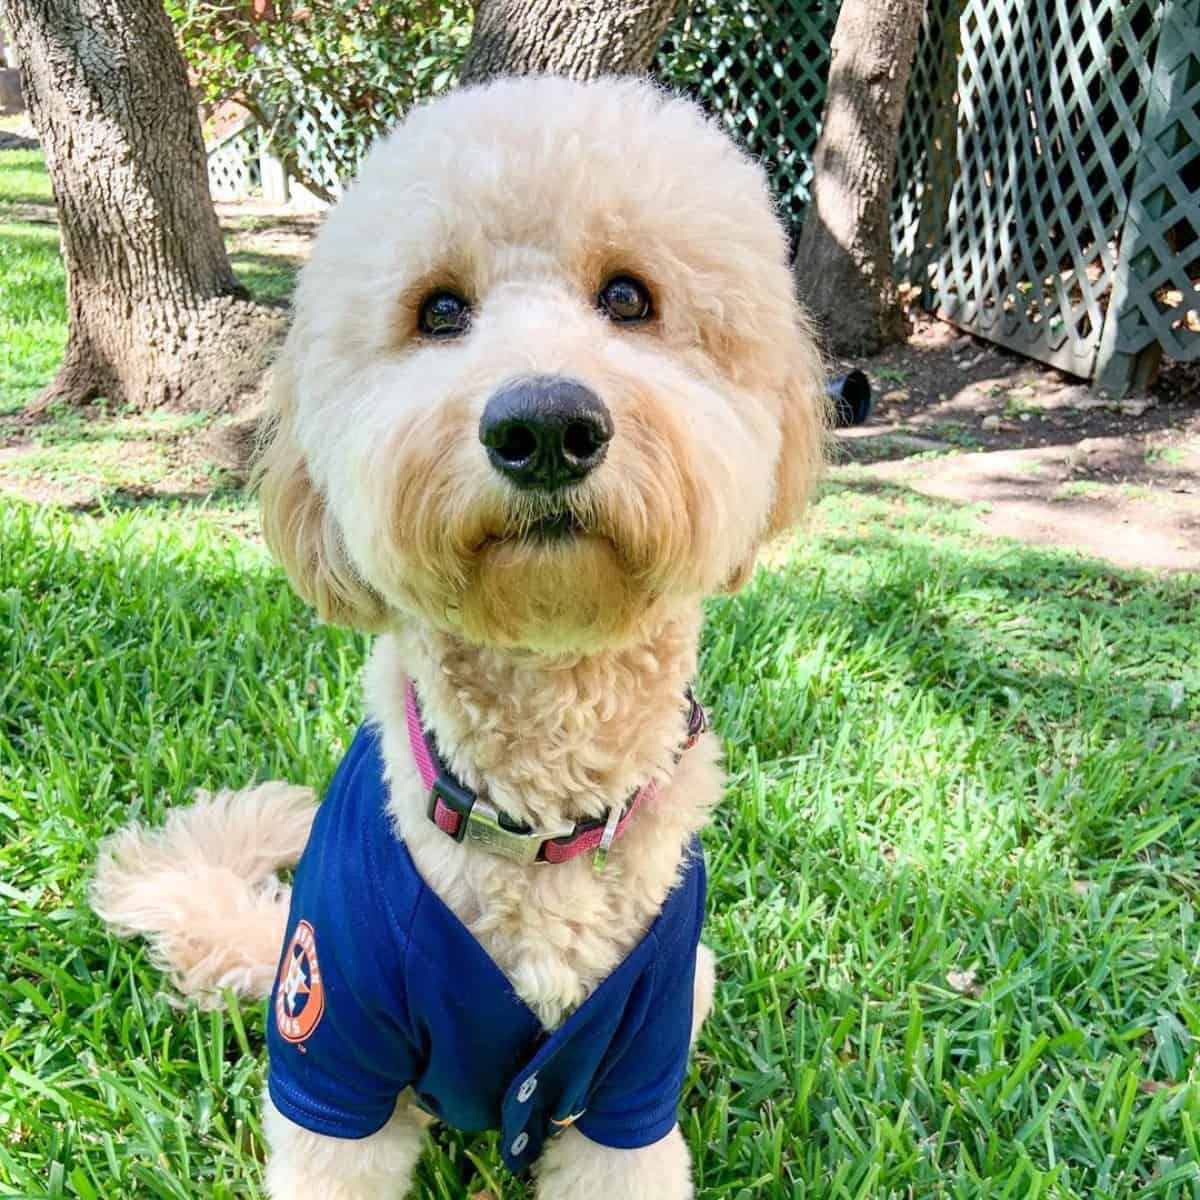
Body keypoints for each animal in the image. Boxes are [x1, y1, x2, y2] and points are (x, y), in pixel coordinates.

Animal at [91, 75, 825, 1200]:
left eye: (629, 298)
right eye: (439, 311)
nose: (544, 426)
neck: (534, 814)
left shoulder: (633, 1090)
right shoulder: (331, 1056)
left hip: (693, 980)